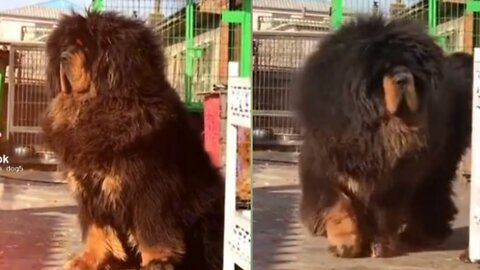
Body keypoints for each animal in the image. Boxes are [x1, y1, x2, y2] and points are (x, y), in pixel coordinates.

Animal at [294, 15, 470, 258]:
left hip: (438, 165)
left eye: (411, 69)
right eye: (383, 70)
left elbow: (385, 215)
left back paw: (424, 234)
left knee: (431, 196)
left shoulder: (396, 180)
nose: (403, 78)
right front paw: (346, 242)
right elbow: (339, 205)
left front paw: (380, 244)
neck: (375, 132)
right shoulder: (324, 169)